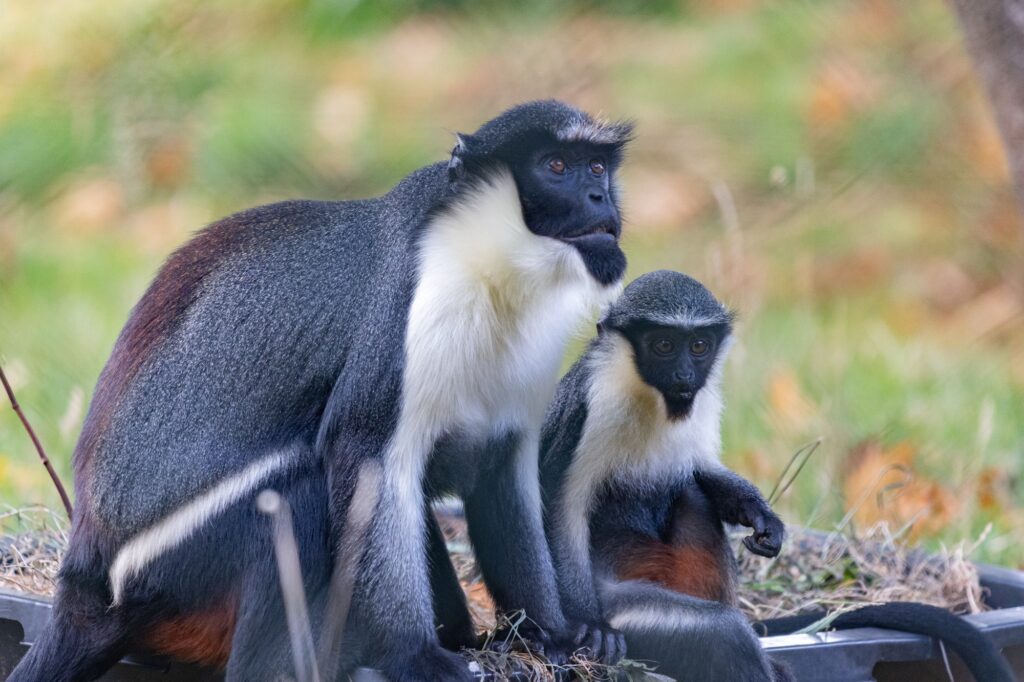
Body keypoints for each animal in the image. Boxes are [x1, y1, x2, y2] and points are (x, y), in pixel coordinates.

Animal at [9, 100, 634, 682]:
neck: (495, 271)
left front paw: (559, 633)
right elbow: (366, 457)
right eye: (556, 166)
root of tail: (86, 582)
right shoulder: (408, 317)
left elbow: (502, 476)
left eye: (598, 167)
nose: (601, 198)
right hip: (172, 568)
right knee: (298, 491)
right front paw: (417, 655)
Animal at [536, 270, 790, 681]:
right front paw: (592, 626)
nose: (685, 374)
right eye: (664, 345)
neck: (654, 400)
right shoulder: (589, 410)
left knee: (691, 490)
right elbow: (563, 509)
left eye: (699, 346)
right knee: (724, 632)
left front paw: (761, 516)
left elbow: (701, 469)